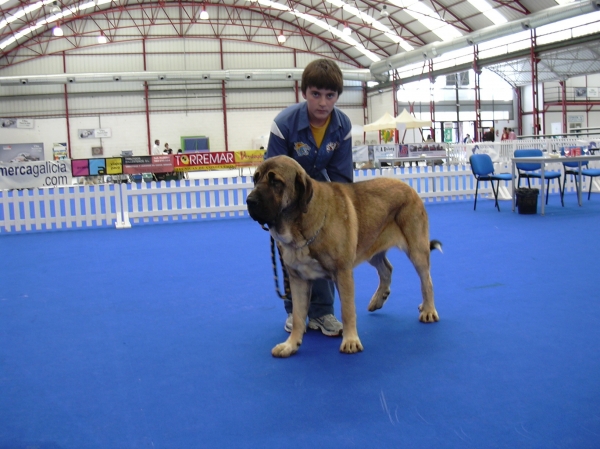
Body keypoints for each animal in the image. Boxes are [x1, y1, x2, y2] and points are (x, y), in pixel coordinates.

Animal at [245, 155, 440, 356]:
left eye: (276, 182)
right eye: (255, 179)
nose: (249, 200)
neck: (300, 225)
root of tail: (409, 188)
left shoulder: (342, 273)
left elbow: (347, 310)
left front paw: (351, 341)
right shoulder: (298, 279)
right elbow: (298, 315)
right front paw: (290, 345)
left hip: (416, 249)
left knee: (426, 281)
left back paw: (428, 310)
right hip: (372, 246)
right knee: (386, 269)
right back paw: (379, 299)